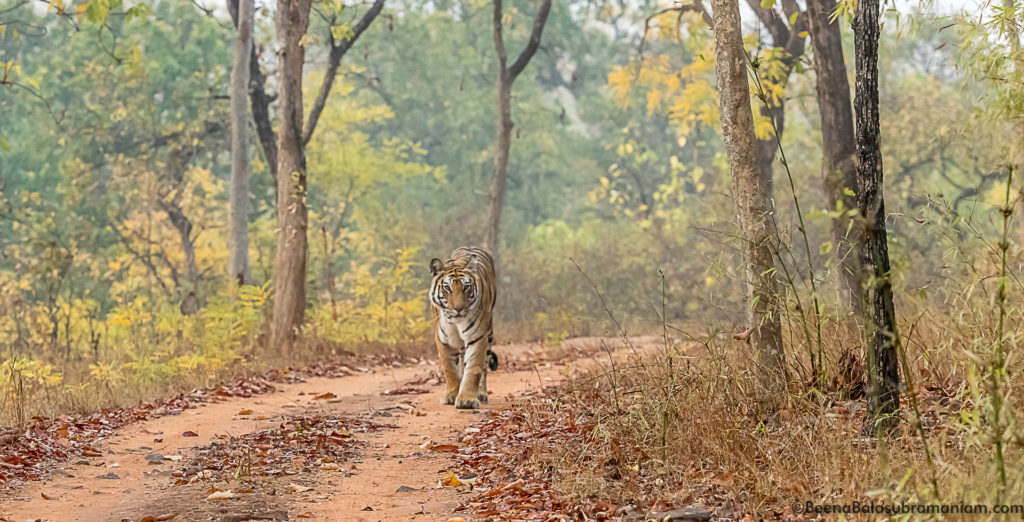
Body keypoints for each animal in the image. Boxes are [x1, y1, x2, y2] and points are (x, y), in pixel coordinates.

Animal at [428, 246, 499, 409]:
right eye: (447, 288)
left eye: (466, 287)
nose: (458, 309)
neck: (456, 323)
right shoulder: (443, 339)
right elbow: (450, 369)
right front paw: (451, 395)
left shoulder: (477, 337)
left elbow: (473, 368)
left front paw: (467, 400)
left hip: (489, 333)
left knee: (483, 367)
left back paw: (481, 393)